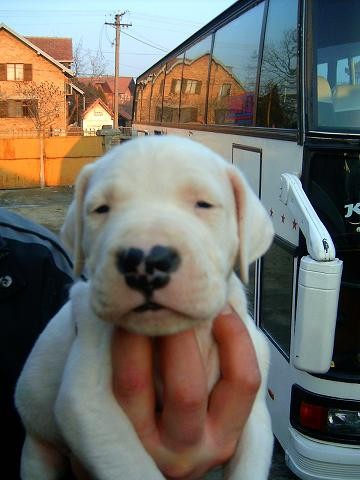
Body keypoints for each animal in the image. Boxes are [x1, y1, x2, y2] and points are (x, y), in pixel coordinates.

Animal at [14, 136, 272, 480]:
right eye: (101, 209)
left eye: (203, 204)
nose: (146, 261)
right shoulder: (87, 403)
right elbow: (133, 466)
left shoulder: (254, 411)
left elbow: (249, 466)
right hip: (37, 450)